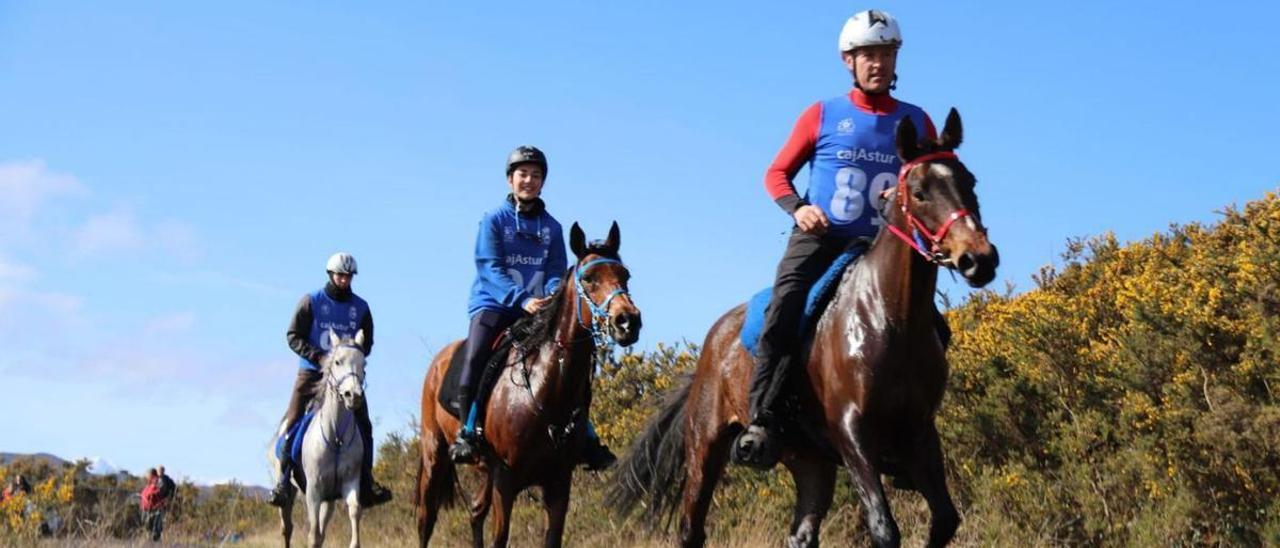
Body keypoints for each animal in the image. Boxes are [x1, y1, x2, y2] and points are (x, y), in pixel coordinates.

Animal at [267, 330, 368, 548]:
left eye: (364, 363)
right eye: (337, 361)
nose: (353, 395)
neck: (336, 437)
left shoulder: (349, 482)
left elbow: (354, 511)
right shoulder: (314, 490)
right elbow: (313, 535)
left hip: (328, 499)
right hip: (288, 491)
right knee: (287, 528)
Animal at [417, 220, 640, 545]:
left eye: (625, 275)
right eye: (589, 279)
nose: (628, 322)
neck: (546, 388)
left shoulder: (559, 482)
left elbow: (552, 538)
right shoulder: (506, 479)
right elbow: (500, 538)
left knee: (475, 512)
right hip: (435, 454)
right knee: (426, 519)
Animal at [609, 109, 998, 545]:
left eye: (970, 182)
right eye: (919, 192)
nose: (979, 259)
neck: (890, 318)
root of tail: (714, 340)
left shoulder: (919, 434)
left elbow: (945, 518)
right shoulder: (852, 431)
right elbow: (884, 527)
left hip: (809, 461)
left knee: (801, 533)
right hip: (705, 446)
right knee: (692, 526)